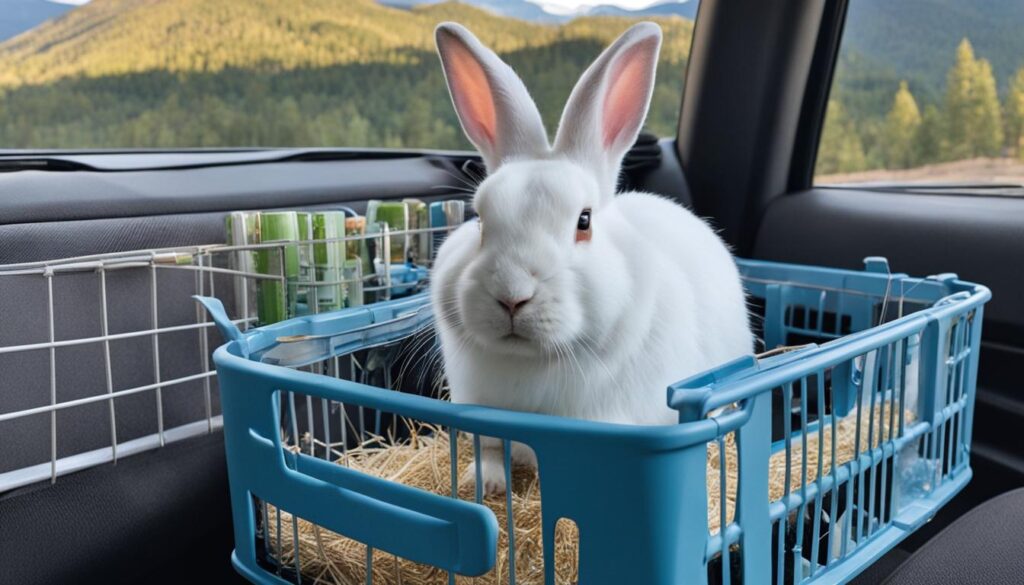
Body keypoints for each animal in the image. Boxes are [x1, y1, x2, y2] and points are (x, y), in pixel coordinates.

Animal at [431, 21, 753, 495]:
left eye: (584, 221)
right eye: (480, 221)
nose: (511, 296)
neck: (532, 364)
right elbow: (489, 450)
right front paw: (485, 484)